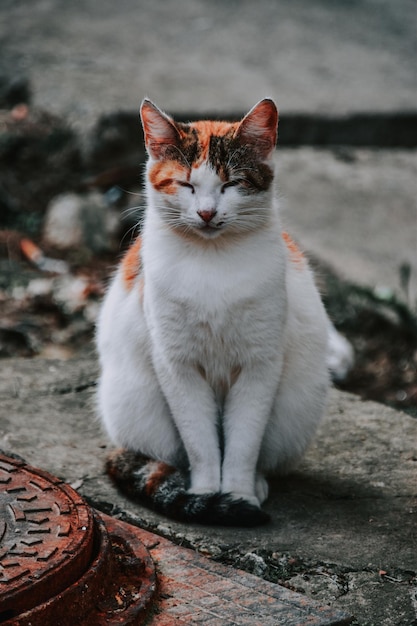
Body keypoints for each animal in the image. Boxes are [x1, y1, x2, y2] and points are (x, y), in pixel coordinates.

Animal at [96, 98, 350, 528]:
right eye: (186, 185)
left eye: (231, 185)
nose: (206, 213)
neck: (211, 262)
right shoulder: (177, 366)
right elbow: (200, 442)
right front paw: (204, 494)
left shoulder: (259, 366)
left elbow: (243, 443)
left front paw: (238, 493)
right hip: (137, 407)